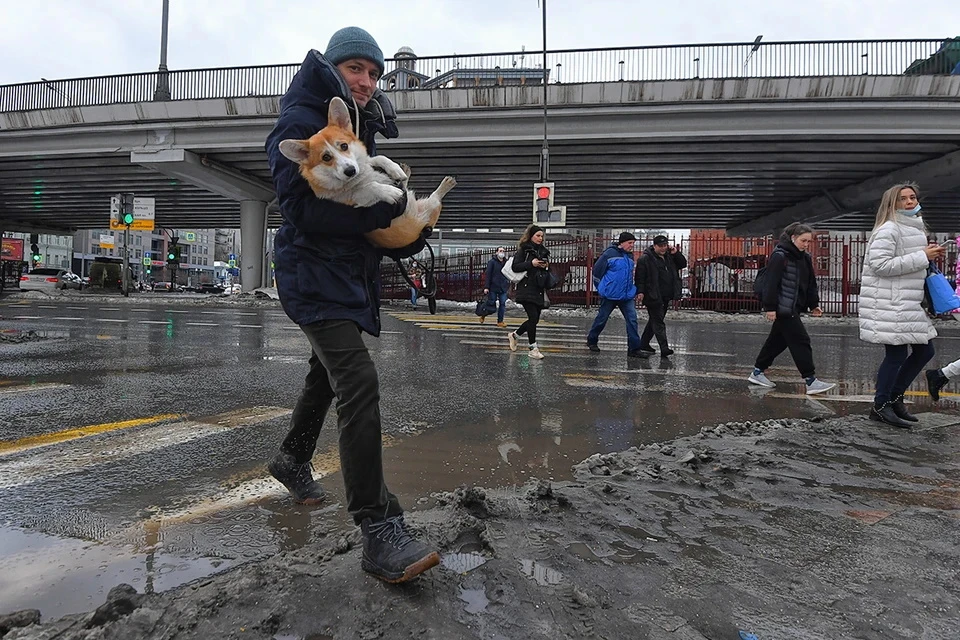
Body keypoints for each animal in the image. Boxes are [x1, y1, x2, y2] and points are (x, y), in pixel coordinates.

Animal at [278, 96, 458, 249]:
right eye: (326, 157)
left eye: (344, 146)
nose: (350, 170)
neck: (359, 177)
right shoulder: (356, 202)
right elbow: (369, 187)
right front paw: (389, 191)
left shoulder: (365, 163)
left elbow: (378, 158)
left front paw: (395, 168)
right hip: (431, 207)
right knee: (435, 197)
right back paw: (445, 184)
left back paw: (405, 173)